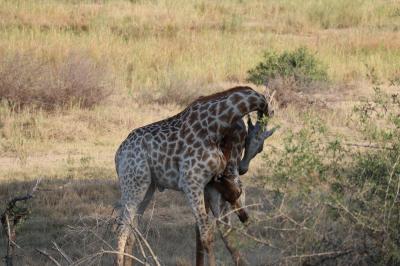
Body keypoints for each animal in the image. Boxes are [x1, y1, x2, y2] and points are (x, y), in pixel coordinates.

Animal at [114, 86, 274, 264]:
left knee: (131, 231)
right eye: (255, 145)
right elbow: (206, 235)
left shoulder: (212, 185)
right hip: (133, 183)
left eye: (259, 149)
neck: (216, 126)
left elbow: (222, 234)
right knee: (121, 229)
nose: (242, 169)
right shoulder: (192, 182)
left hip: (147, 187)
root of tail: (118, 154)